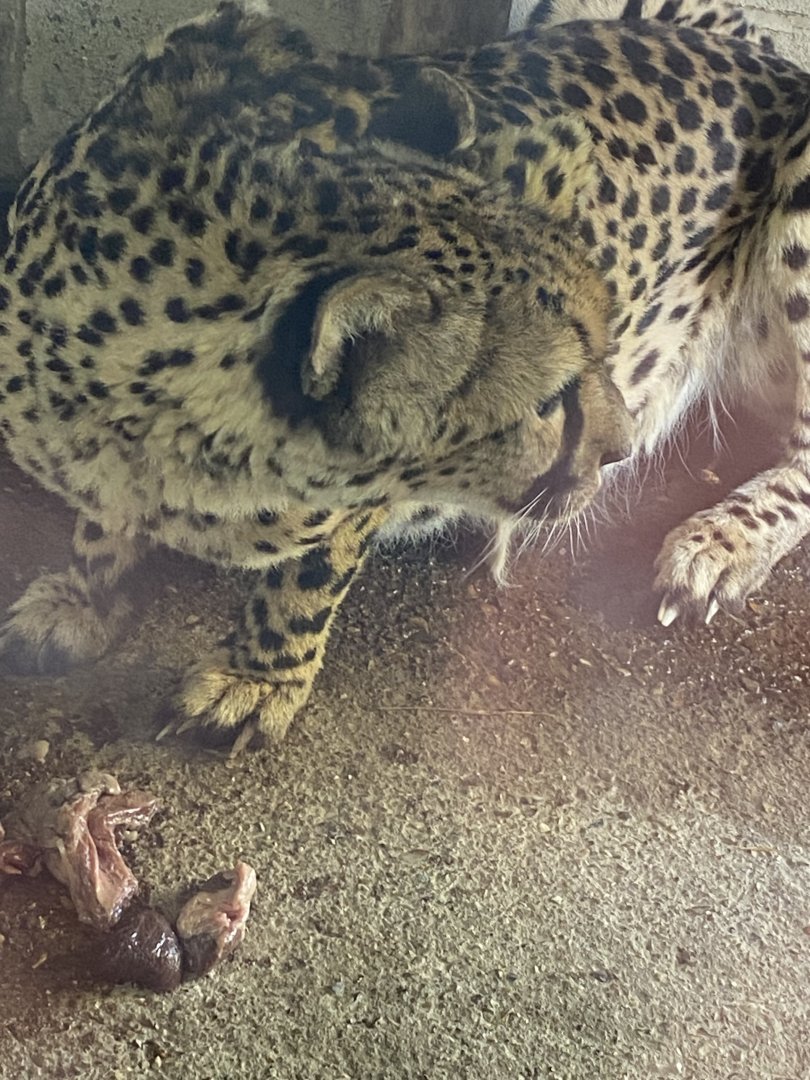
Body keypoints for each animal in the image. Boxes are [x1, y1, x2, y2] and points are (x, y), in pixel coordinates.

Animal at [1, 0, 809, 753]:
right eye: (549, 398)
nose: (623, 450)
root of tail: (765, 56)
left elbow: (312, 570)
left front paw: (260, 678)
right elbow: (101, 520)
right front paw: (82, 594)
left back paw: (717, 545)